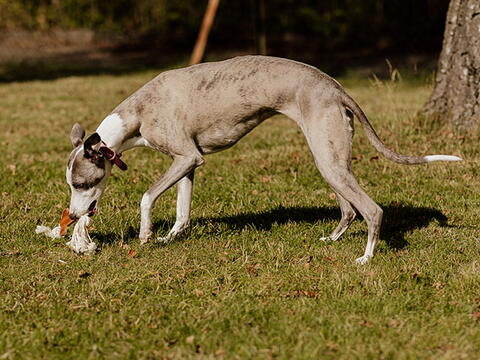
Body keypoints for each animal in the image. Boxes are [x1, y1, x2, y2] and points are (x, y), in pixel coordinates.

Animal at [64, 57, 462, 264]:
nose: (73, 216)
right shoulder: (189, 163)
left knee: (373, 210)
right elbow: (182, 211)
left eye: (83, 183)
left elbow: (147, 196)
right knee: (349, 209)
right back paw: (333, 239)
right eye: (70, 184)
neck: (137, 114)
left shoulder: (186, 156)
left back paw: (366, 258)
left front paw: (146, 235)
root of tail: (336, 87)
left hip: (329, 161)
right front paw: (169, 238)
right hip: (331, 161)